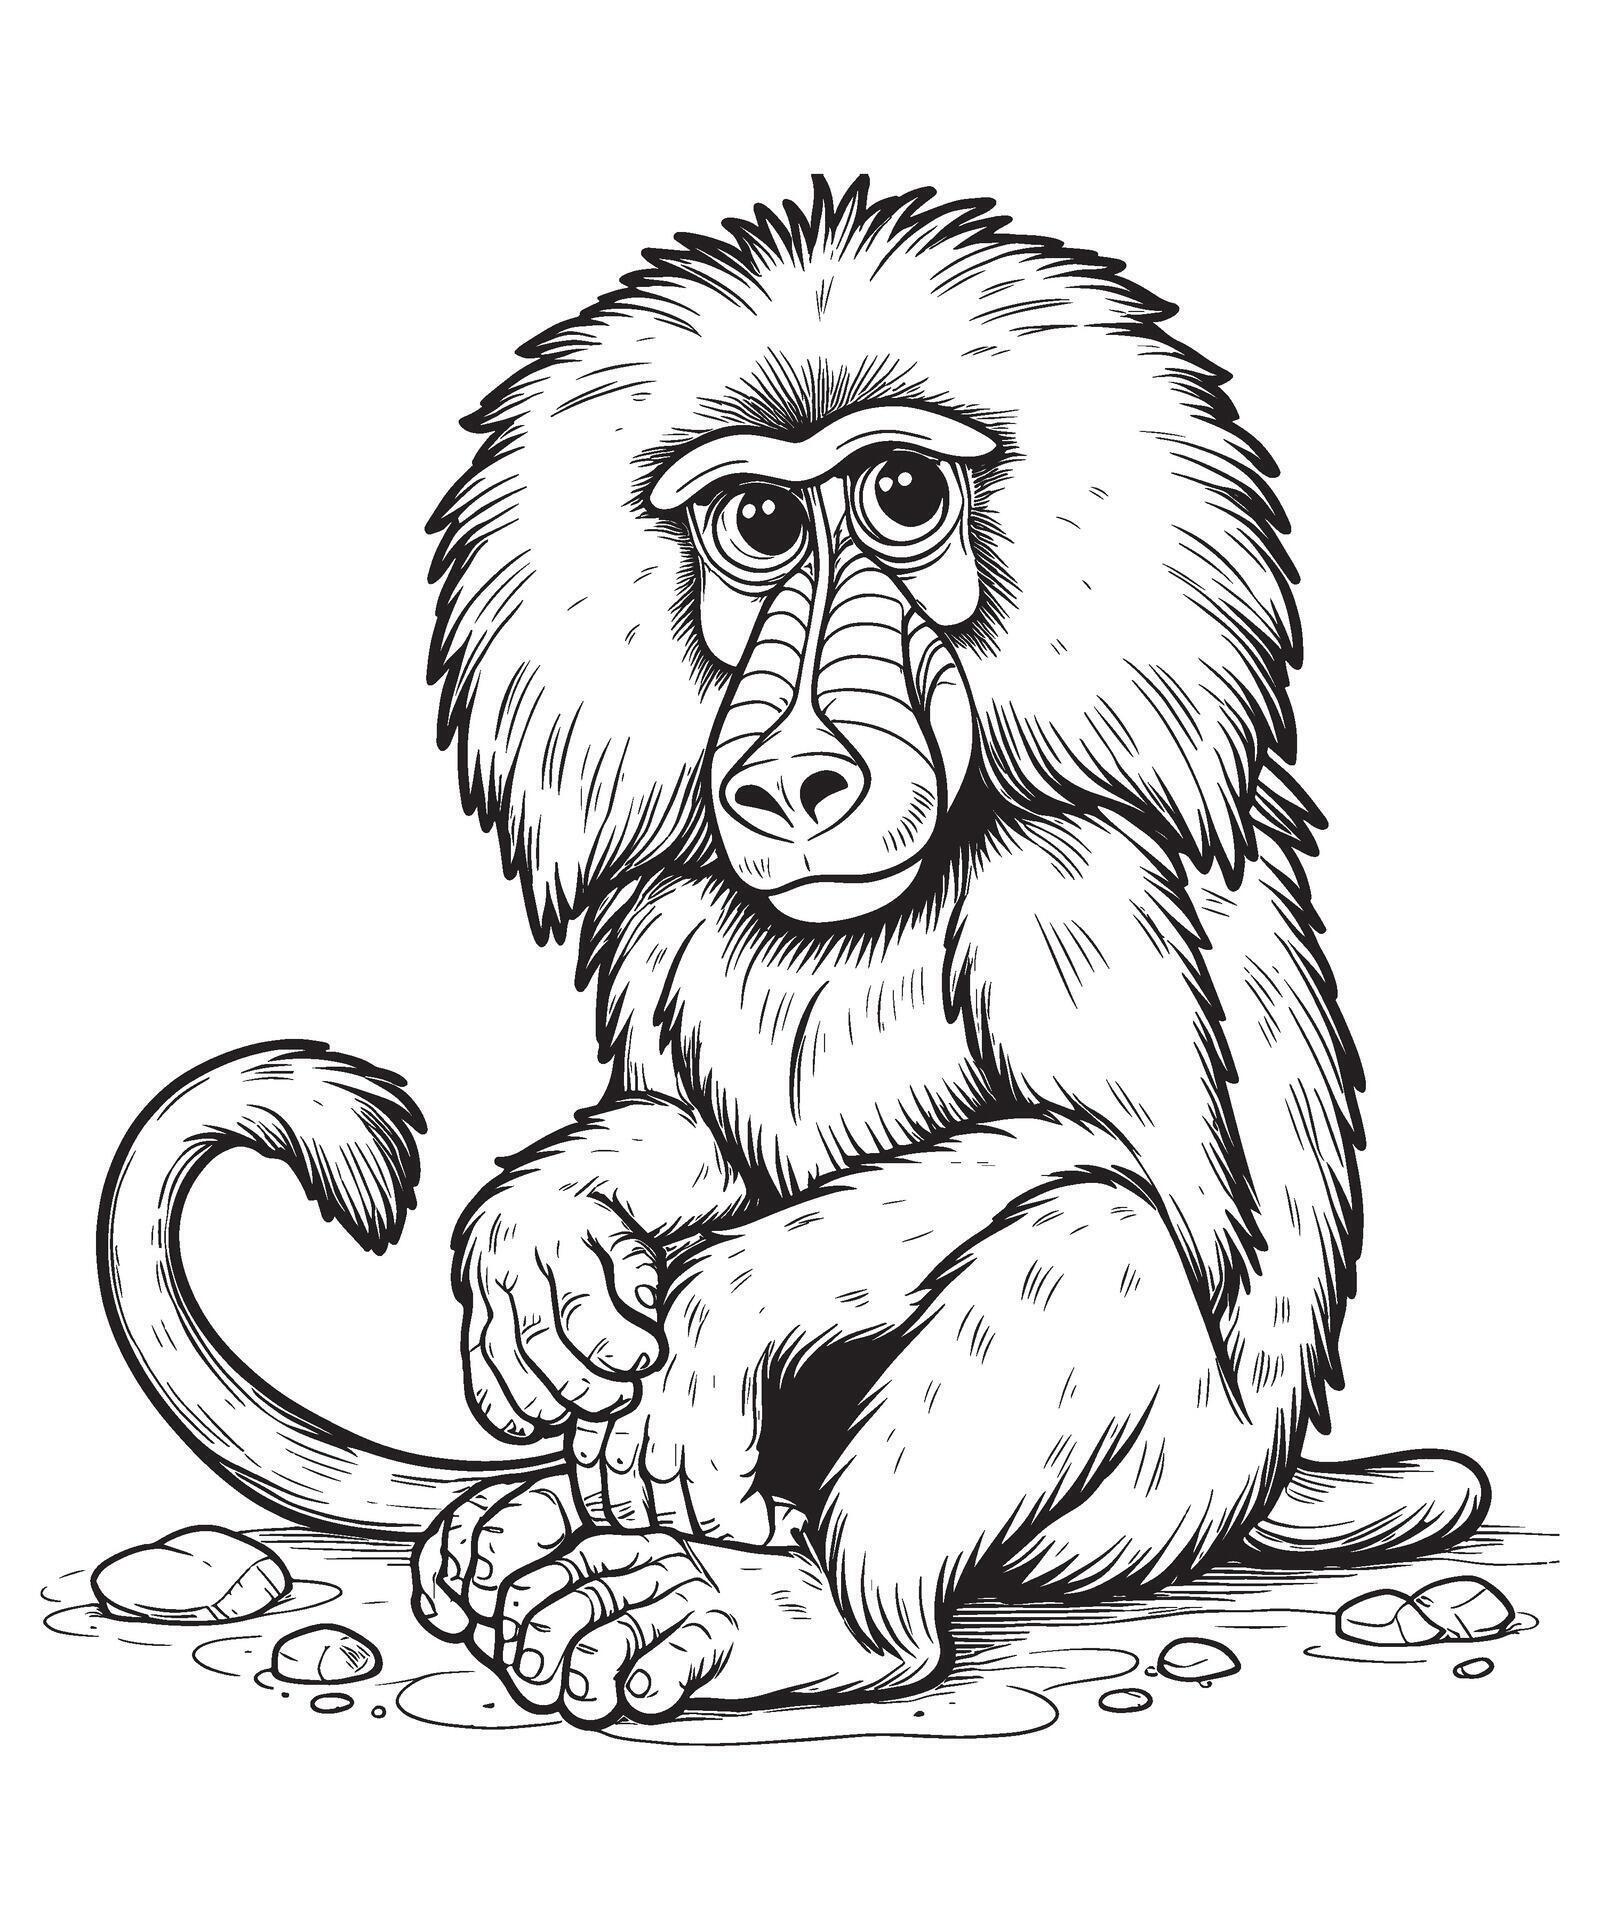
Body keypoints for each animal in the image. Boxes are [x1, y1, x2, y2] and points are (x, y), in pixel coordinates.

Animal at [99, 179, 1489, 1726]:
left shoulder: (1071, 869)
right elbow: (688, 1129)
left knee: (1088, 1238)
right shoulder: (661, 897)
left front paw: (717, 1318)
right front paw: (540, 1243)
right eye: (757, 519)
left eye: (902, 496)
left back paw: (807, 1612)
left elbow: (1151, 1175)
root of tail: (1256, 1498)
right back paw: (537, 1522)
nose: (793, 780)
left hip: (1151, 1503)